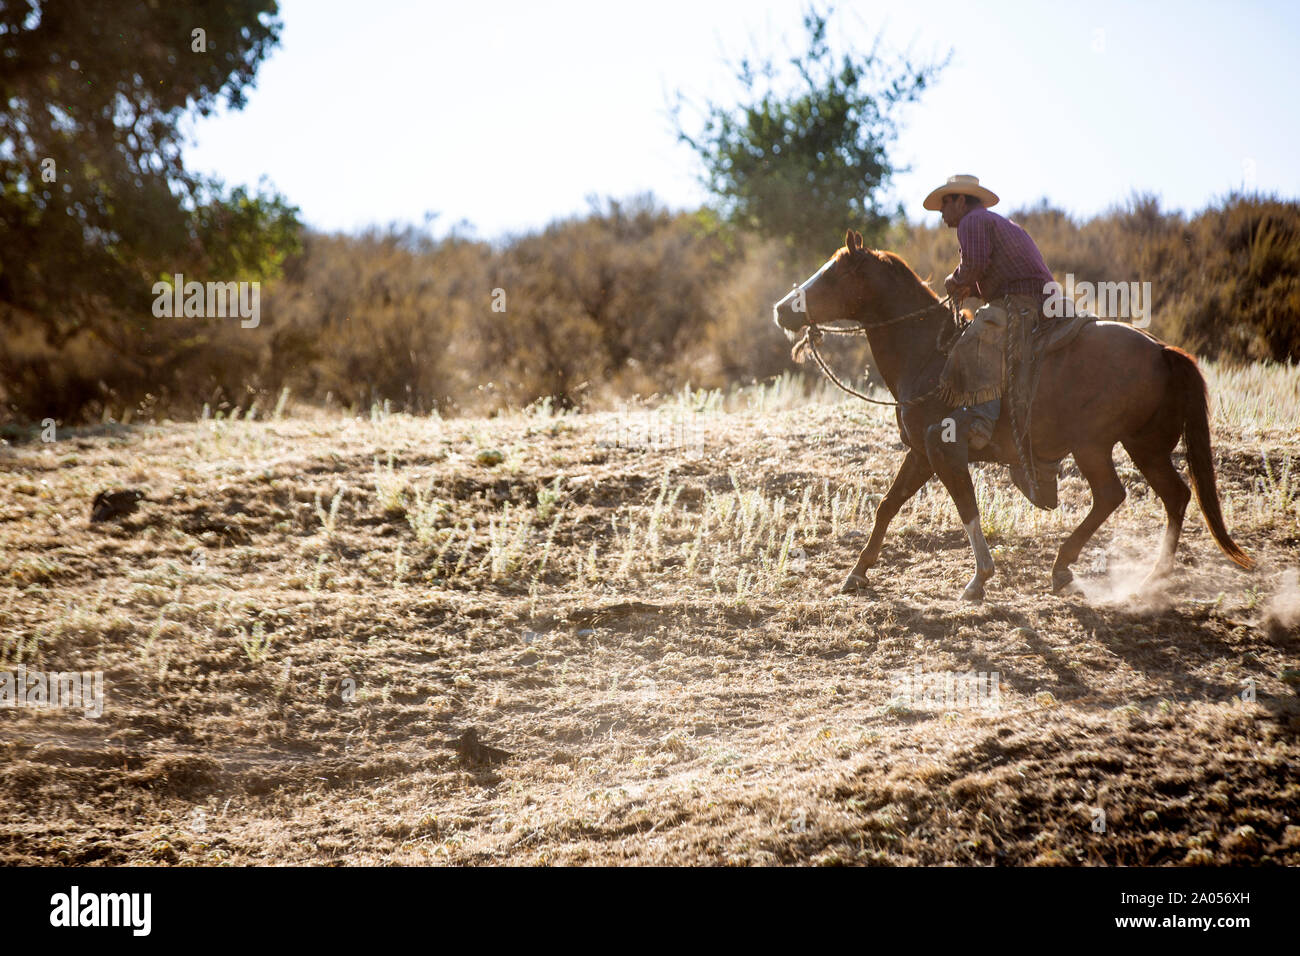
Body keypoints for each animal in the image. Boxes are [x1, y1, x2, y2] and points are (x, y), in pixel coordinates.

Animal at [769, 231, 1248, 600]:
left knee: (1112, 495)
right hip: (1145, 446)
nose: (781, 309)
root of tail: (1163, 351)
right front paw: (857, 572)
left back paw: (1065, 567)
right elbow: (888, 505)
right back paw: (1151, 577)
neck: (929, 355)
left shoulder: (944, 450)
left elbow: (966, 507)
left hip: (1096, 446)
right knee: (1176, 496)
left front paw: (978, 579)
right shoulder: (921, 454)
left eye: (832, 274)